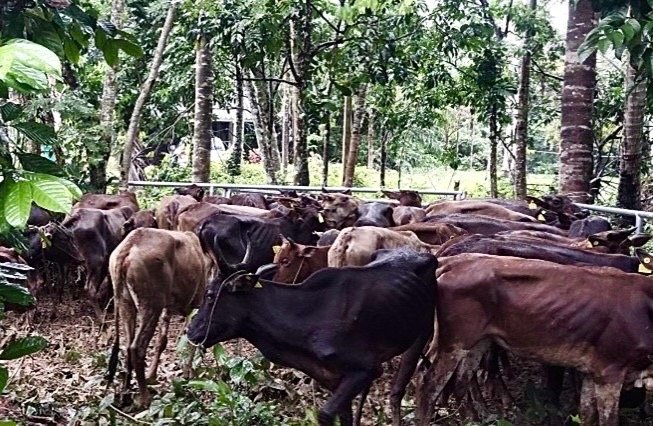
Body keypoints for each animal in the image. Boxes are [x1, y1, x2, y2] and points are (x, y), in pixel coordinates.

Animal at [105, 228, 210, 408]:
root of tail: (127, 248)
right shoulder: (196, 304)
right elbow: (191, 339)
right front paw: (189, 374)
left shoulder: (167, 309)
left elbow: (162, 341)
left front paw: (152, 375)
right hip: (151, 304)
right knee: (136, 347)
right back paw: (144, 398)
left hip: (126, 303)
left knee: (128, 346)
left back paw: (126, 394)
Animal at [185, 250, 438, 426]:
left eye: (210, 295)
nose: (190, 331)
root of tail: (426, 254)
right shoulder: (333, 378)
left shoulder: (366, 368)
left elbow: (324, 415)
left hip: (422, 330)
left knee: (399, 391)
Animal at [416, 255, 653, 424]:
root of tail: (452, 263)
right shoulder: (610, 370)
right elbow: (608, 420)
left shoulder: (592, 371)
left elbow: (587, 415)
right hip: (454, 342)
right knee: (428, 385)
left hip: (478, 342)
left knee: (459, 381)